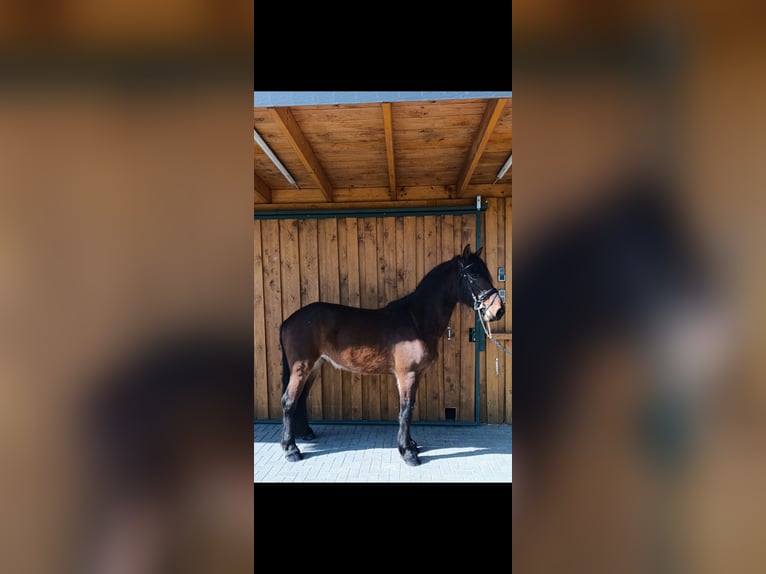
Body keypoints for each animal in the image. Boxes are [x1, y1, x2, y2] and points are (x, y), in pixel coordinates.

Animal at [278, 244, 505, 466]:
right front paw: (408, 453)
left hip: (314, 367)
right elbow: (405, 411)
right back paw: (291, 450)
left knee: (300, 398)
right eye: (474, 275)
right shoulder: (407, 374)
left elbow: (410, 407)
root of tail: (289, 320)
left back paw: (305, 434)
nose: (498, 311)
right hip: (302, 367)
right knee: (289, 401)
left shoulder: (416, 374)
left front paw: (411, 445)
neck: (416, 319)